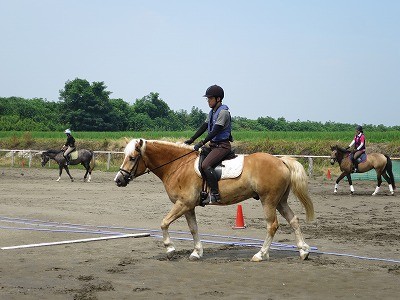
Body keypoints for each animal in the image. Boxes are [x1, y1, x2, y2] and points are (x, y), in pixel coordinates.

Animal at [114, 139, 314, 262]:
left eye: (132, 158)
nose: (118, 180)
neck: (177, 165)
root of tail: (281, 161)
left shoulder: (183, 204)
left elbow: (164, 223)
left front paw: (170, 249)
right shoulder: (188, 207)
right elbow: (193, 228)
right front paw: (197, 252)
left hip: (269, 201)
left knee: (272, 225)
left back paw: (261, 254)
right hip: (280, 201)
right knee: (294, 220)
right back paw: (303, 251)